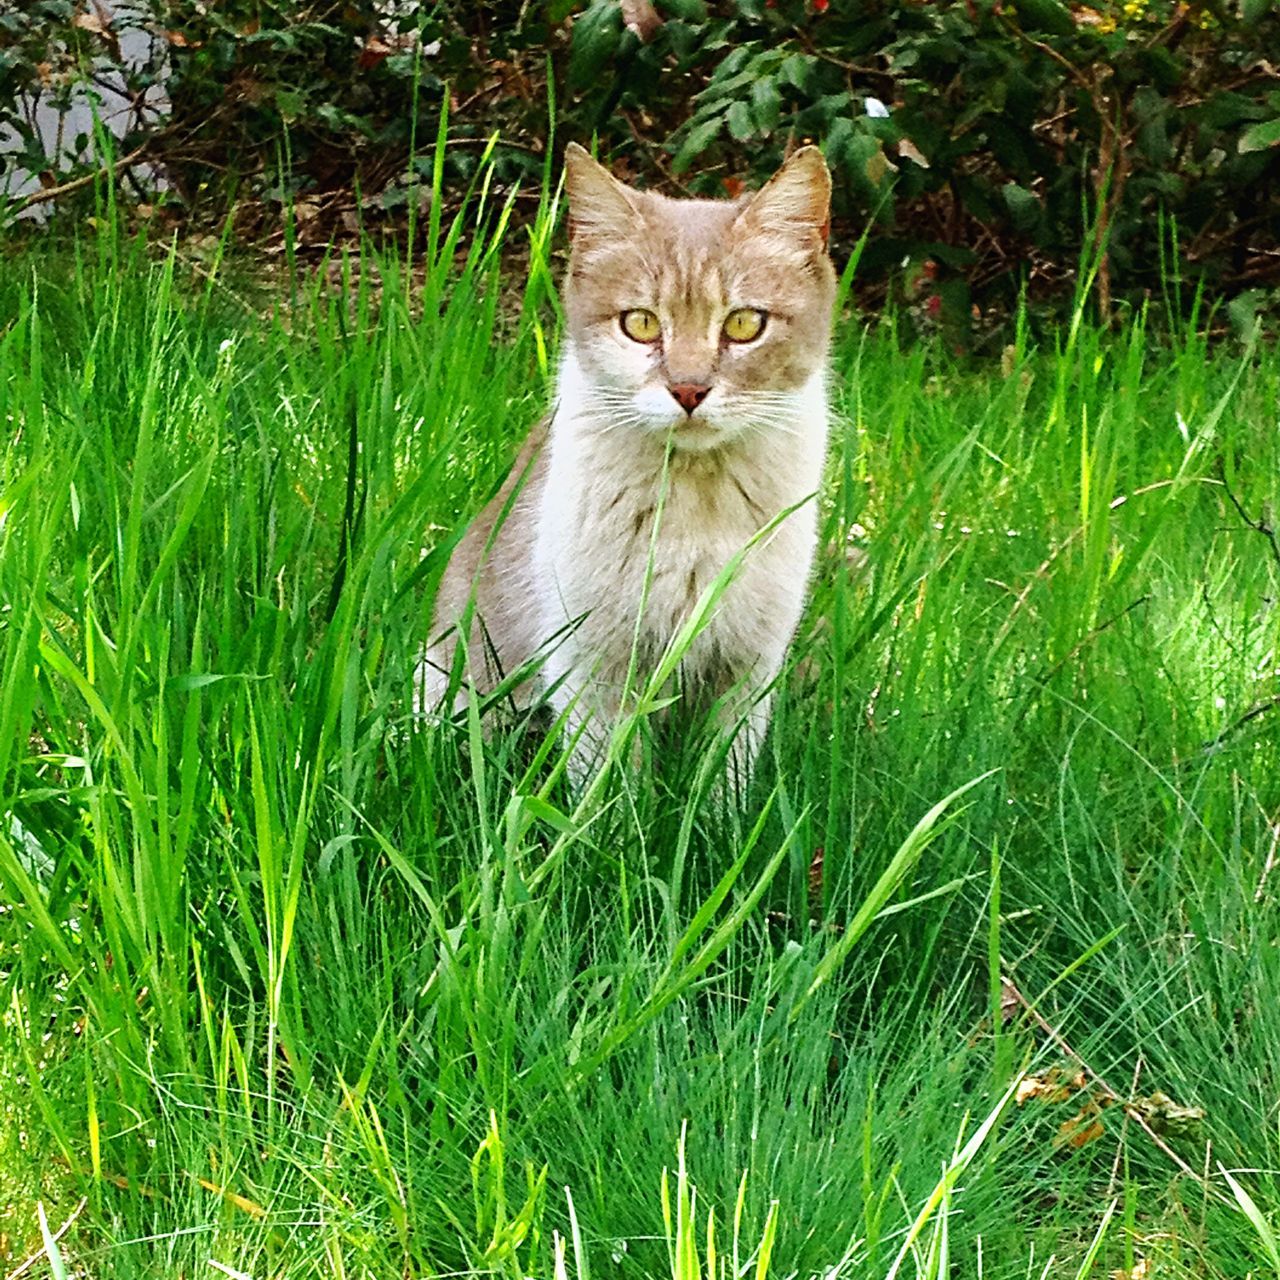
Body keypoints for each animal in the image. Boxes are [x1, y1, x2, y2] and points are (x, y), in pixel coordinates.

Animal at [414, 140, 839, 778]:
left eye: (745, 323)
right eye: (639, 323)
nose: (688, 390)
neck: (695, 504)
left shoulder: (747, 668)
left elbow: (723, 780)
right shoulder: (592, 665)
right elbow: (612, 782)